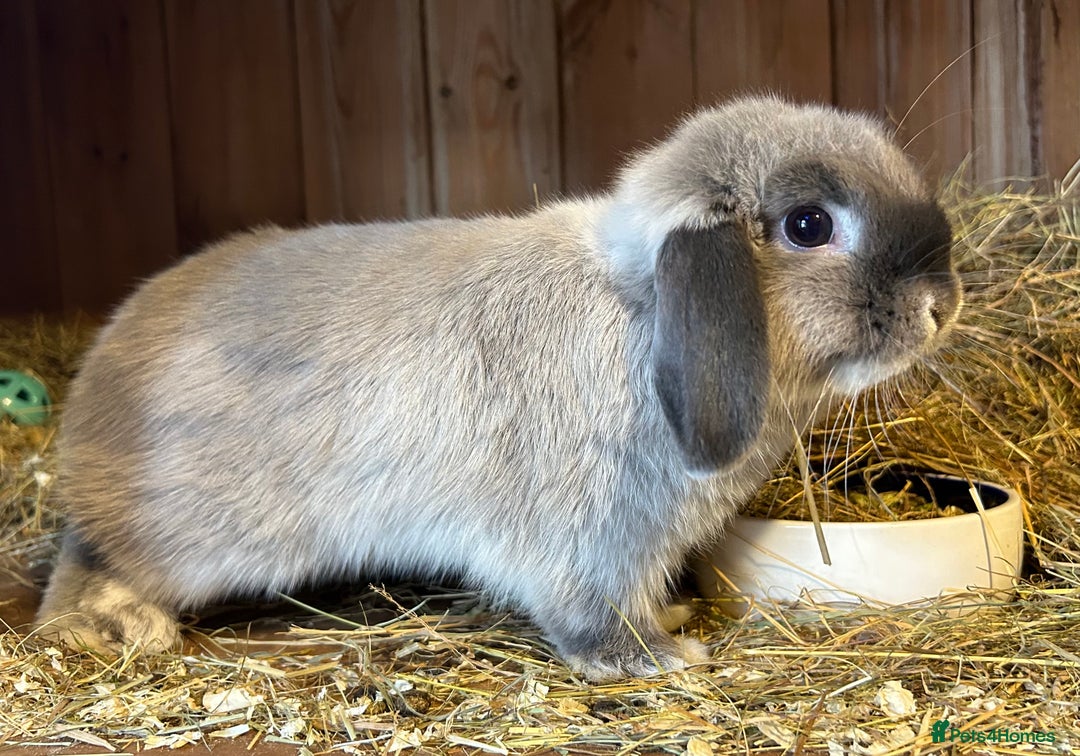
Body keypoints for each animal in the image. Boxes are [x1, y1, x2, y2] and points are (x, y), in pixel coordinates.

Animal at [35, 96, 960, 681]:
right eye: (809, 225)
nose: (940, 307)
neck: (640, 310)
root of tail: (96, 384)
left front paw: (670, 625)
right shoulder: (586, 541)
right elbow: (589, 614)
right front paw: (656, 660)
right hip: (191, 532)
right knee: (87, 561)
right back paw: (118, 623)